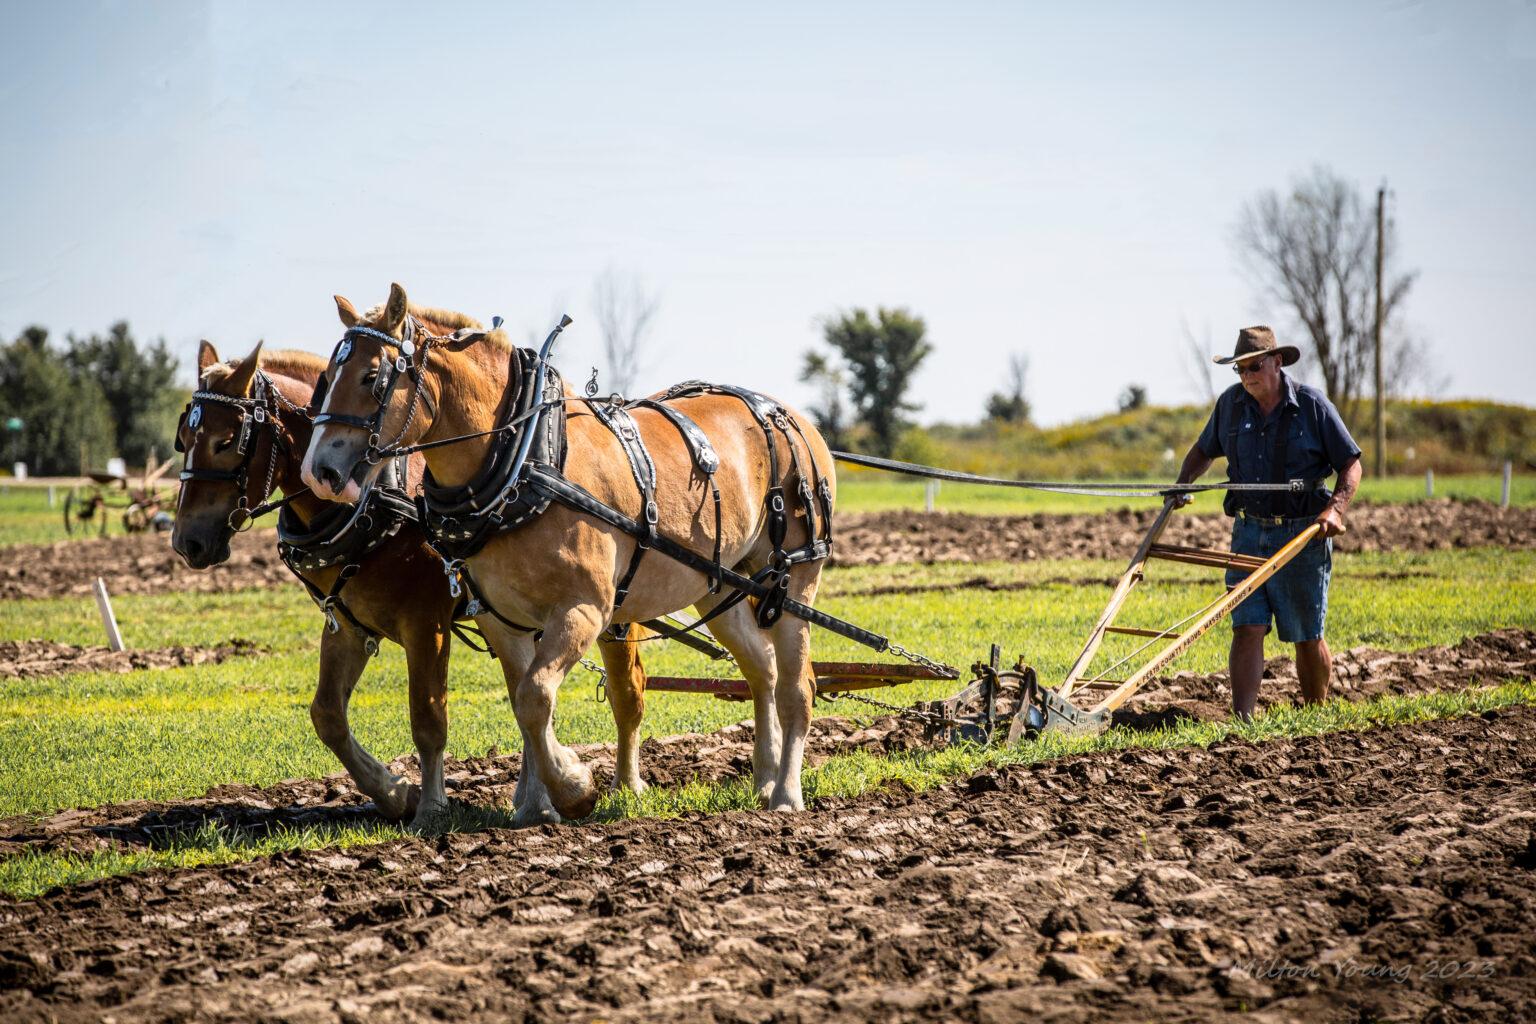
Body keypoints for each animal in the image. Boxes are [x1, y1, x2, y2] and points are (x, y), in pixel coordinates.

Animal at [168, 340, 654, 829]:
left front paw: (430, 807)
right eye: (183, 440)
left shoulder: (426, 621)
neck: (371, 501)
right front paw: (393, 792)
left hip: (610, 611)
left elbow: (428, 717)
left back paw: (623, 785)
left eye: (227, 441)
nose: (187, 541)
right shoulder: (348, 622)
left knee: (626, 690)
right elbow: (327, 715)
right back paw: (532, 797)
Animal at [304, 282, 835, 822]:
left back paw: (786, 794)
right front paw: (537, 806)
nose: (318, 471)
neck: (525, 462)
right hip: (719, 585)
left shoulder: (584, 609)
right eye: (326, 379)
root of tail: (795, 418)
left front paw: (573, 786)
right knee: (761, 668)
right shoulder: (501, 617)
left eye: (372, 377)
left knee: (797, 687)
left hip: (797, 574)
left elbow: (536, 697)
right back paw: (764, 779)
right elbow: (523, 701)